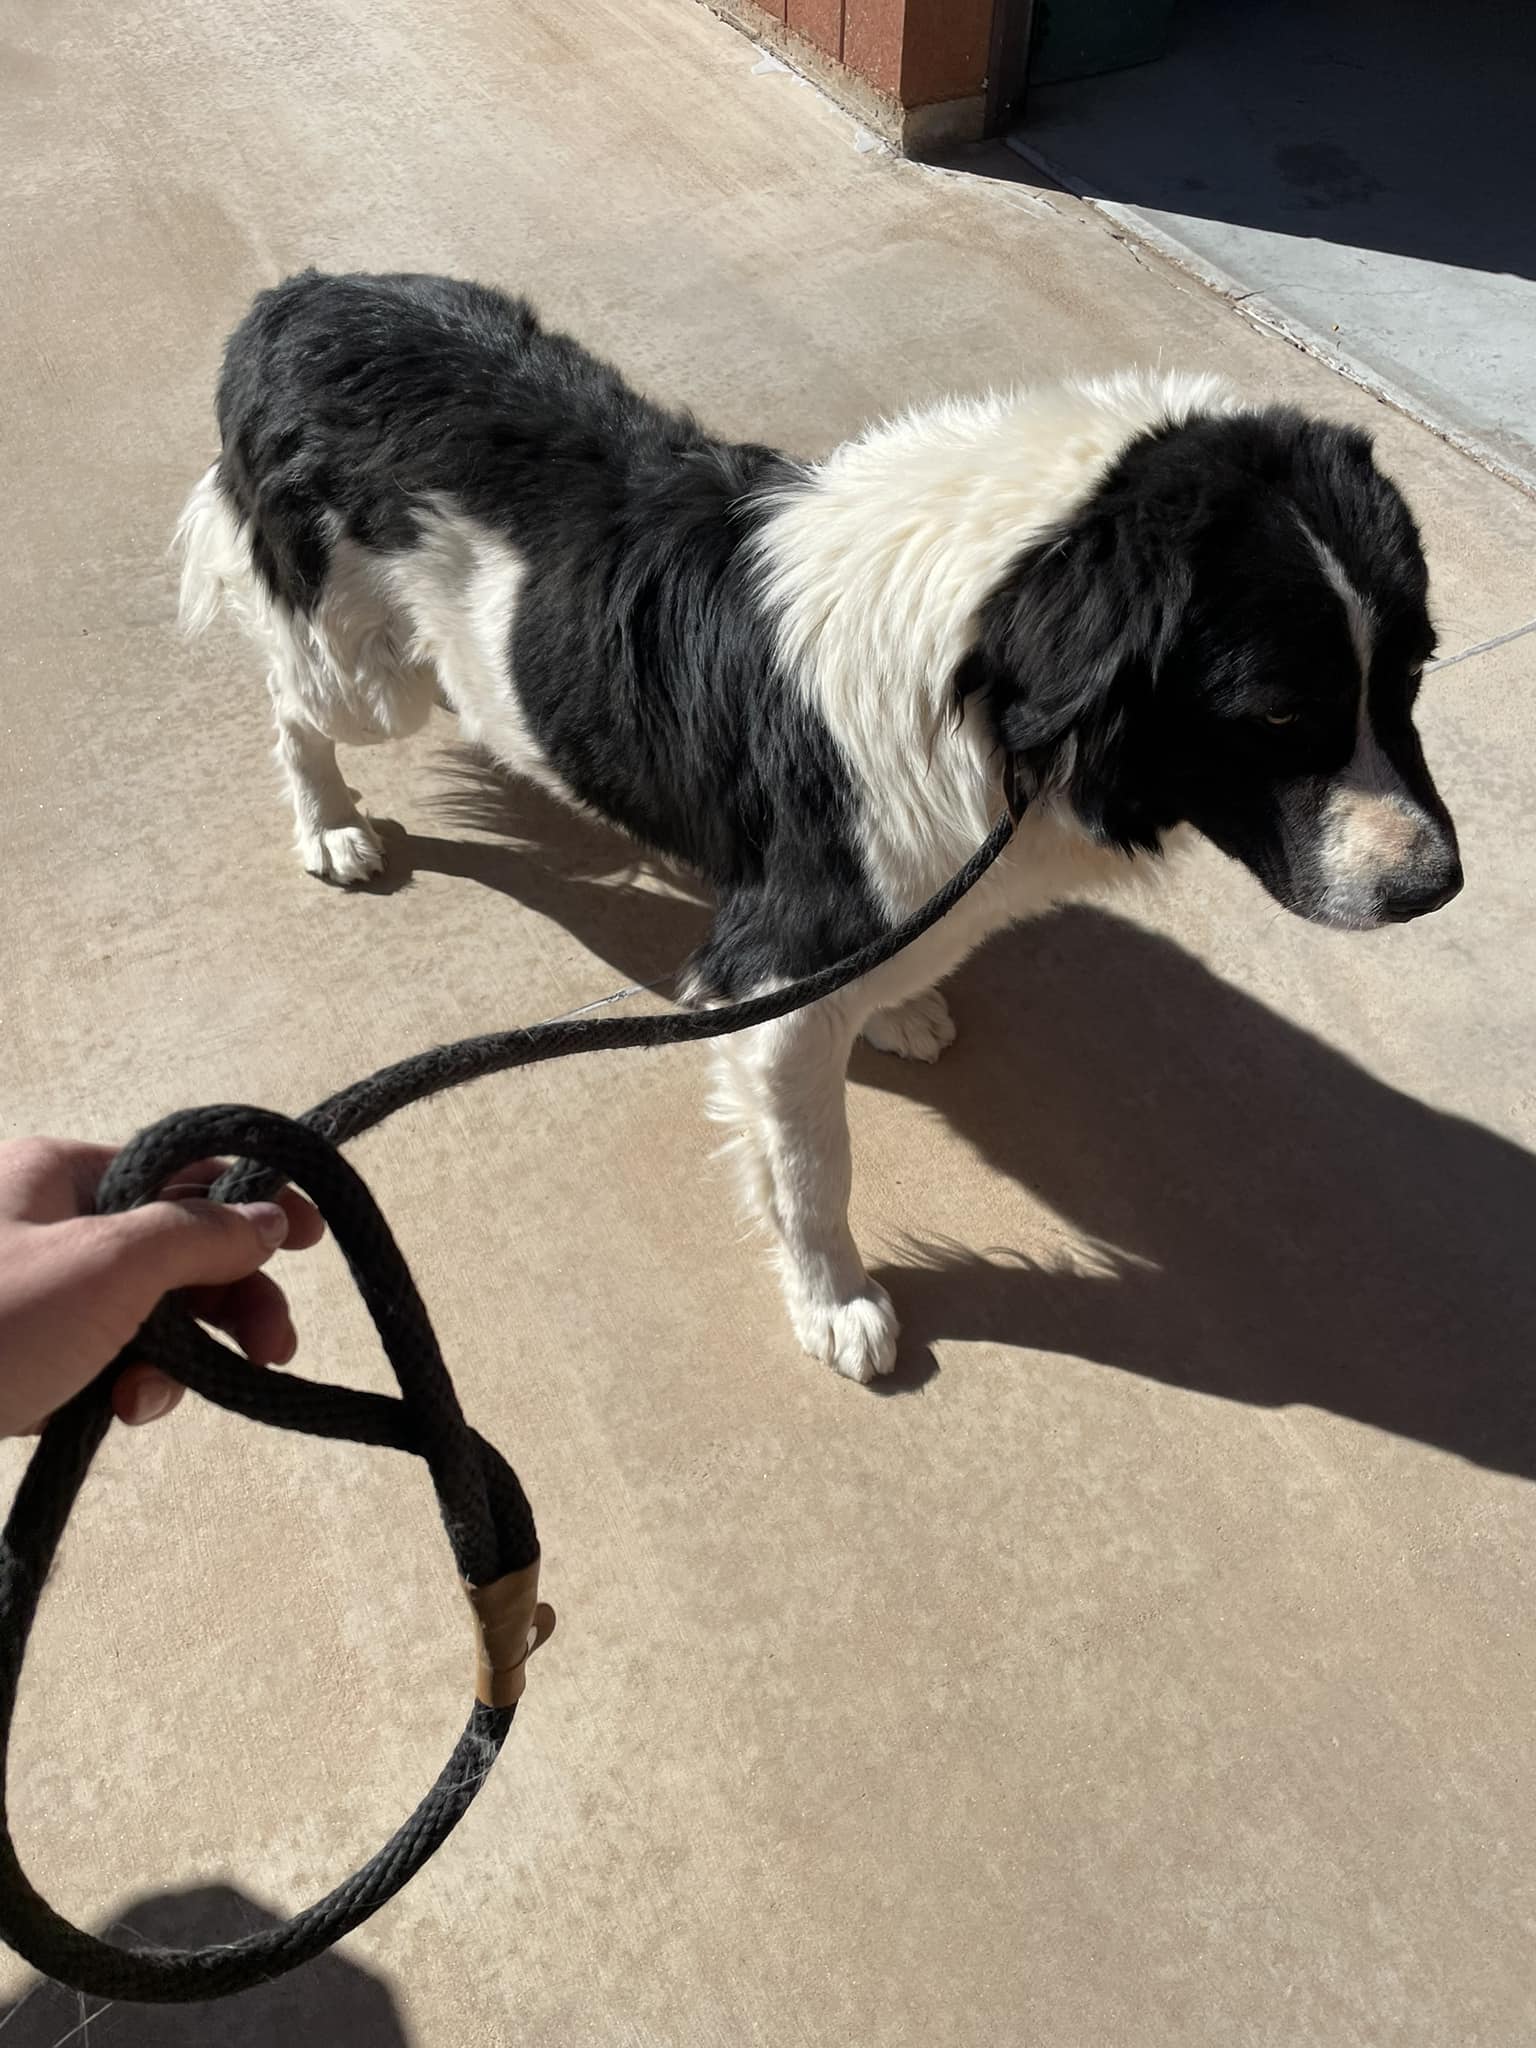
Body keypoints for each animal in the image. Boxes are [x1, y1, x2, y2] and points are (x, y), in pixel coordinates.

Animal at [174, 272, 1458, 1384]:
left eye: (1409, 674)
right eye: (1276, 712)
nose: (1434, 890)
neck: (986, 670)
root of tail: (297, 296)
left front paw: (896, 1007)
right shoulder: (775, 985)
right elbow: (811, 1170)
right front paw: (835, 1302)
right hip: (366, 676)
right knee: (292, 699)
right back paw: (330, 824)